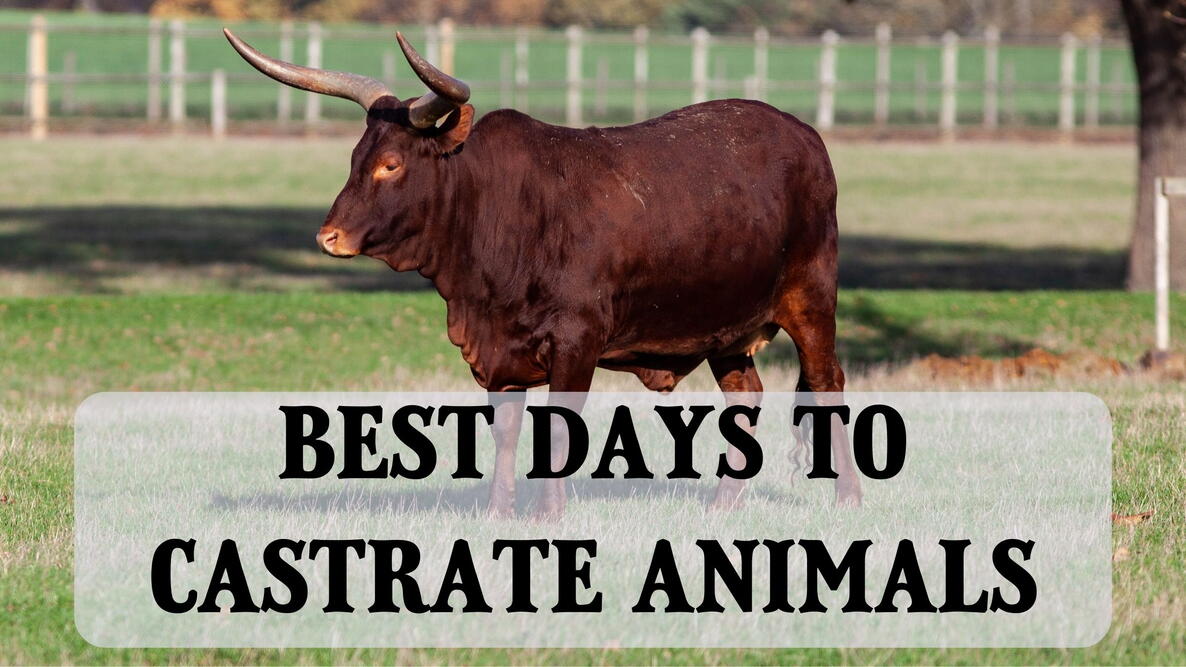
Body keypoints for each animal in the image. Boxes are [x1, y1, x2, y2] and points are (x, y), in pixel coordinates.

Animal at [224, 29, 861, 518]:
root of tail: (804, 134)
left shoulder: (577, 341)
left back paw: (848, 501)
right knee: (746, 396)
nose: (328, 237)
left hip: (810, 299)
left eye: (391, 165)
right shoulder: (499, 353)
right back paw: (723, 505)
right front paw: (499, 513)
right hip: (725, 328)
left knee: (827, 383)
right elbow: (506, 432)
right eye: (356, 158)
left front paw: (549, 516)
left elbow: (558, 429)